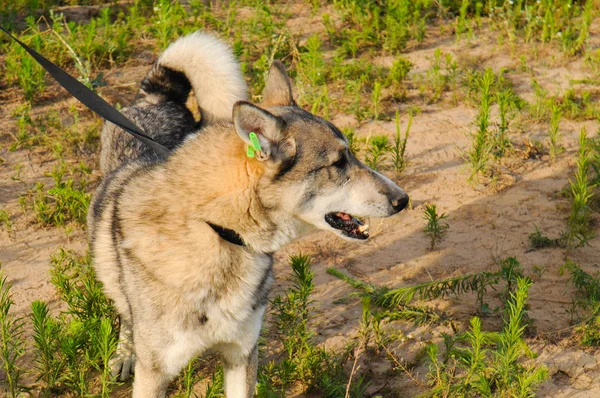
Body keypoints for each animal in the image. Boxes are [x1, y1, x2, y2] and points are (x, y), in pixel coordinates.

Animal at [88, 29, 408, 396]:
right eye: (338, 163)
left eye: (350, 156)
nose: (403, 199)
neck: (217, 231)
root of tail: (154, 99)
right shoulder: (155, 375)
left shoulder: (242, 354)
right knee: (124, 310)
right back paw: (124, 354)